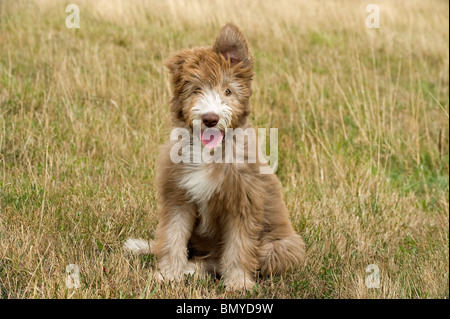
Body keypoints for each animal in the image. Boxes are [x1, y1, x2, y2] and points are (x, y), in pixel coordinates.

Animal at [125, 22, 304, 292]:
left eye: (227, 91)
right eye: (196, 89)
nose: (210, 118)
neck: (208, 152)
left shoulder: (243, 201)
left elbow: (239, 246)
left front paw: (239, 283)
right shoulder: (178, 195)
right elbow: (172, 236)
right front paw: (168, 275)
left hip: (282, 247)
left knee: (224, 261)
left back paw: (194, 270)